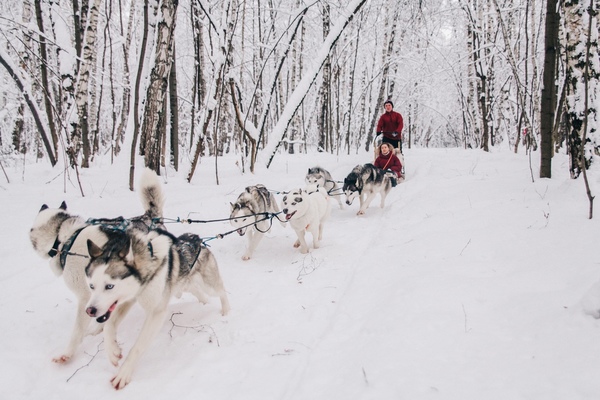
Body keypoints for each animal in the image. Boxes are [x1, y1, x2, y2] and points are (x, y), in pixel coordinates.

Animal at [82, 228, 227, 390]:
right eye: (91, 286)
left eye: (109, 286)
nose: (90, 310)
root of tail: (196, 239)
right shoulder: (128, 299)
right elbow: (108, 326)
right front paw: (113, 351)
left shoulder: (156, 313)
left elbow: (137, 347)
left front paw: (123, 373)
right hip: (186, 286)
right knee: (201, 294)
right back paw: (204, 304)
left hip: (210, 286)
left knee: (223, 292)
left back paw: (226, 312)